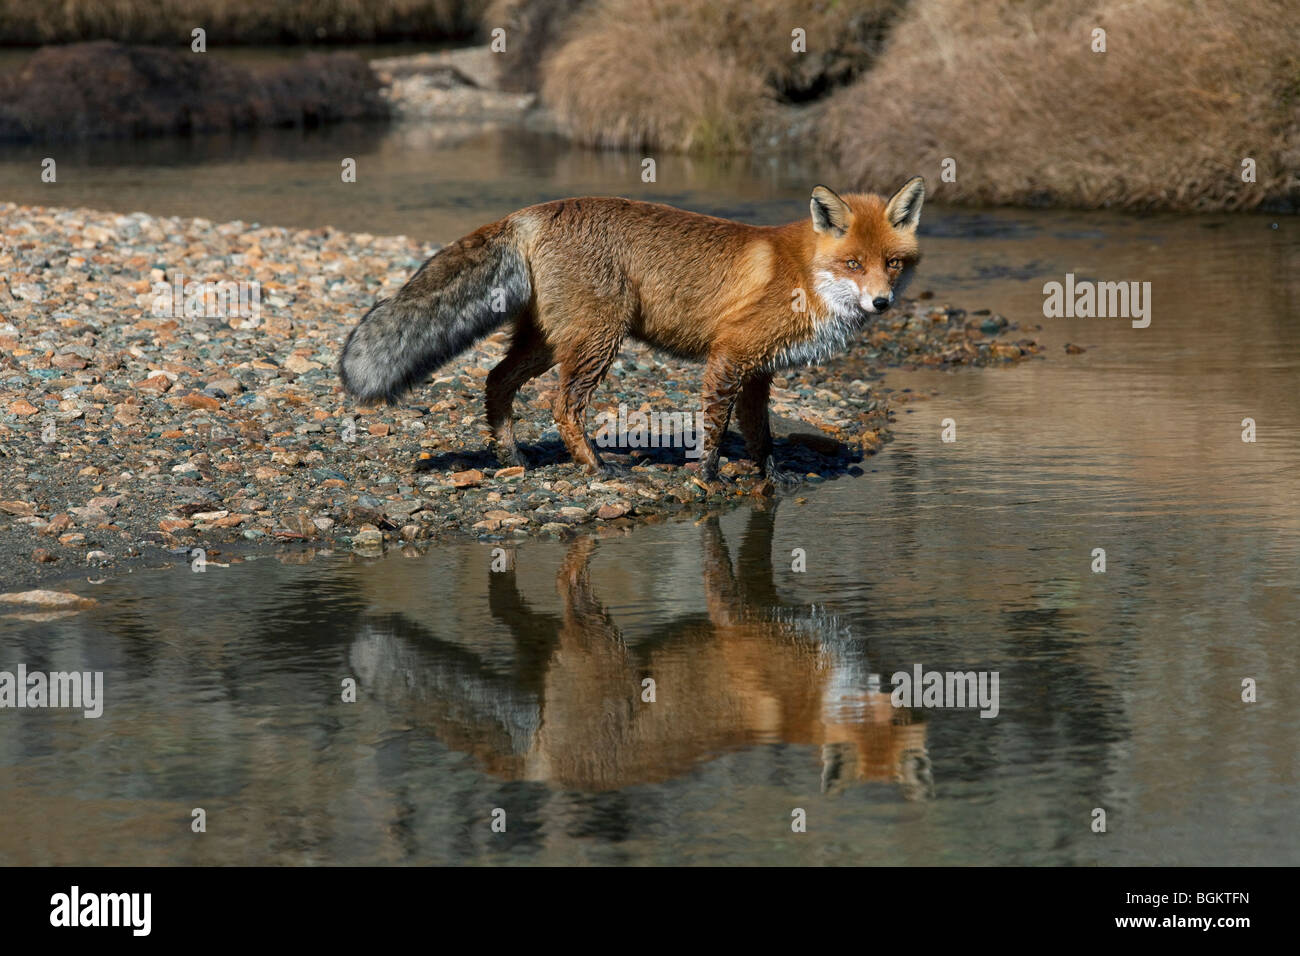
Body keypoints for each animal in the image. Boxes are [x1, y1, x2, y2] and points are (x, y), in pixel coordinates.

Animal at [338, 178, 925, 481]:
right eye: (853, 264)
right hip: (599, 339)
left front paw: (771, 478)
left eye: (893, 264)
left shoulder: (759, 369)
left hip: (550, 341)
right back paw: (595, 465)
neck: (805, 274)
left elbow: (761, 435)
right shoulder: (731, 353)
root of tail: (534, 210)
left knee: (496, 381)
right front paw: (707, 477)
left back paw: (512, 457)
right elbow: (716, 428)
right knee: (561, 405)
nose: (881, 302)